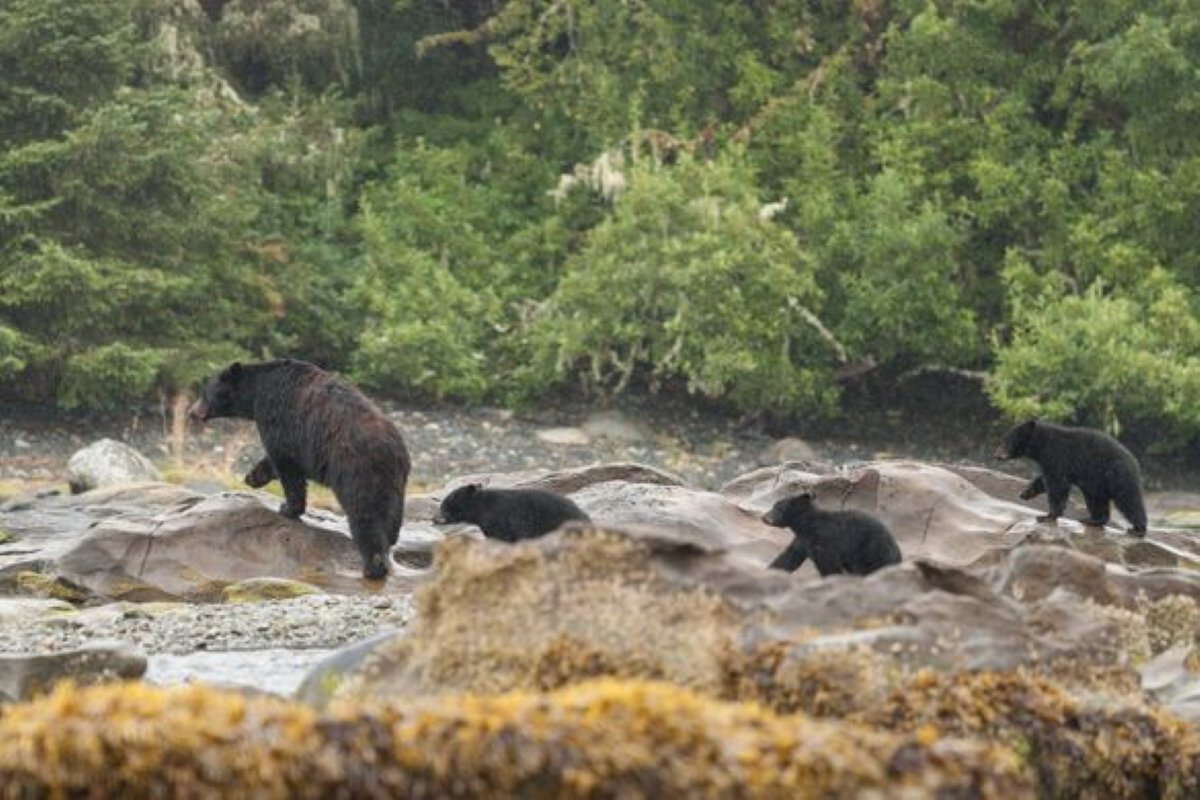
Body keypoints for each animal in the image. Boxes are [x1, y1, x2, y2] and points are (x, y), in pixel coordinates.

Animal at [189, 359, 411, 580]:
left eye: (205, 392)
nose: (191, 412)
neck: (256, 391)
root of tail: (389, 448)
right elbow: (275, 461)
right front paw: (253, 477)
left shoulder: (278, 419)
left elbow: (286, 465)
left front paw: (287, 508)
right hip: (395, 482)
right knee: (392, 516)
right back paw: (389, 543)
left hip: (355, 471)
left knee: (364, 515)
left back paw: (372, 566)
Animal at [761, 492, 902, 576]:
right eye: (774, 506)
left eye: (777, 508)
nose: (763, 517)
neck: (806, 524)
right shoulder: (802, 540)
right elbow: (788, 558)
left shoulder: (825, 539)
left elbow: (828, 563)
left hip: (870, 550)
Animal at [993, 418, 1147, 536]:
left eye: (1005, 441)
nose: (996, 455)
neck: (1042, 444)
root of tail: (1134, 461)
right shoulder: (1050, 462)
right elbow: (1045, 480)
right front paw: (1026, 493)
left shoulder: (1057, 456)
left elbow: (1057, 485)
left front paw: (1047, 516)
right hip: (1097, 484)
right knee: (1096, 500)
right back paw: (1092, 520)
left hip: (1116, 475)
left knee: (1128, 500)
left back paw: (1138, 528)